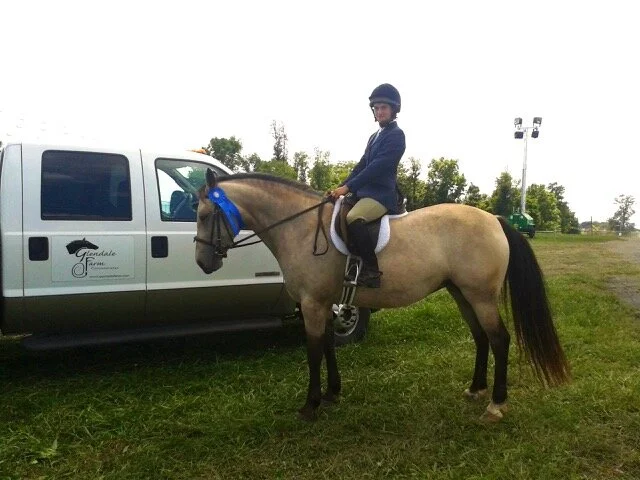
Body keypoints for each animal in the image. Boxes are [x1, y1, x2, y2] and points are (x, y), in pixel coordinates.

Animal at [194, 170, 570, 422]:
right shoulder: (324, 303)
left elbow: (314, 352)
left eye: (203, 215)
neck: (300, 228)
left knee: (499, 340)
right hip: (462, 294)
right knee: (481, 338)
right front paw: (332, 394)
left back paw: (496, 404)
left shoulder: (313, 303)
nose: (203, 262)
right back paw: (475, 389)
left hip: (481, 296)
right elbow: (328, 346)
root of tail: (494, 219)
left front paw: (310, 405)